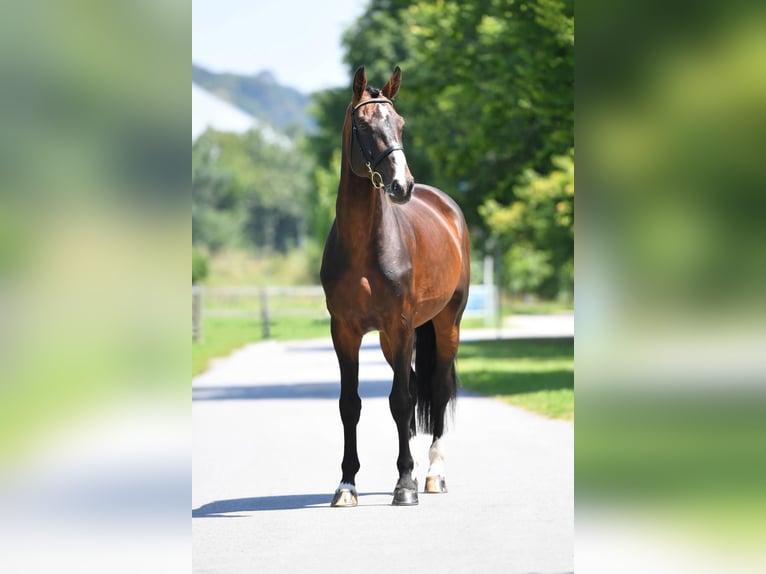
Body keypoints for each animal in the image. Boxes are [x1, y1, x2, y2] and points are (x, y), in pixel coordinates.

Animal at [320, 66, 474, 508]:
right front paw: (346, 485)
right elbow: (350, 404)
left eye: (400, 123)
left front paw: (405, 484)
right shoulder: (345, 331)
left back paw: (433, 474)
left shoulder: (401, 324)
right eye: (363, 125)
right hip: (391, 340)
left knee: (435, 390)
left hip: (445, 325)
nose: (402, 186)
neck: (364, 246)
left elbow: (402, 401)